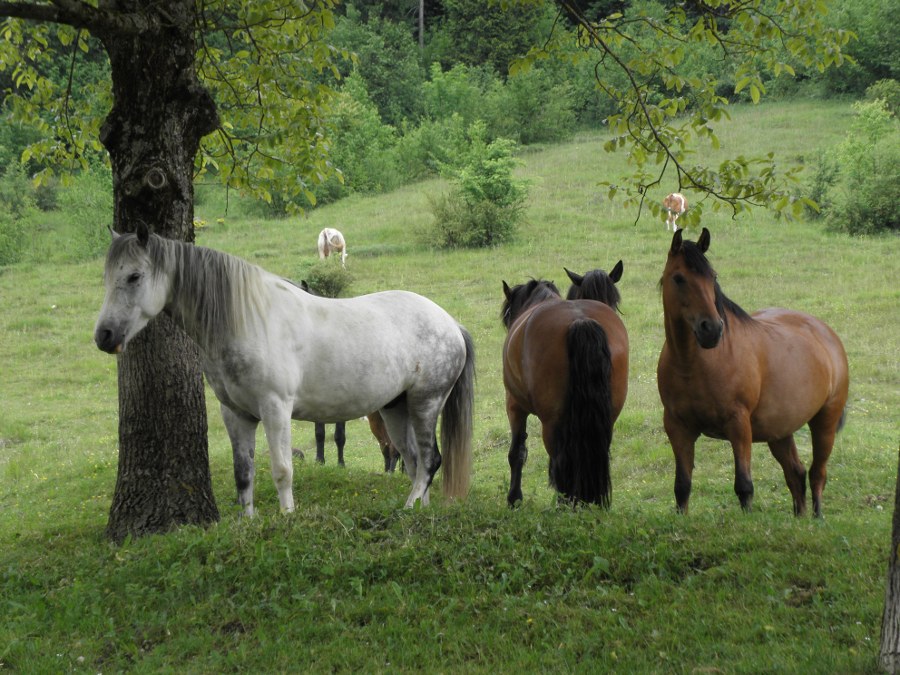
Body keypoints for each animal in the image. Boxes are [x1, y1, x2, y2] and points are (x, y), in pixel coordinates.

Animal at [96, 224, 478, 516]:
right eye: (107, 277)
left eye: (134, 276)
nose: (104, 335)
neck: (247, 320)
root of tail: (450, 323)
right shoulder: (235, 414)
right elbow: (243, 474)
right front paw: (248, 523)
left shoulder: (275, 408)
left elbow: (282, 470)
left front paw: (287, 518)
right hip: (395, 409)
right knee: (414, 462)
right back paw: (420, 511)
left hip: (425, 403)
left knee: (430, 461)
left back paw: (409, 509)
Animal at [500, 278, 624, 508]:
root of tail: (580, 321)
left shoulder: (514, 406)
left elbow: (517, 453)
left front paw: (514, 498)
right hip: (608, 417)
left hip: (551, 423)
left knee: (561, 461)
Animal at [656, 228, 848, 516]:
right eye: (679, 278)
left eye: (712, 277)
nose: (712, 329)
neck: (693, 364)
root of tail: (826, 333)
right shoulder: (677, 427)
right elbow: (682, 487)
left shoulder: (739, 425)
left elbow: (744, 487)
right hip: (780, 432)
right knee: (796, 474)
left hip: (824, 423)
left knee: (817, 475)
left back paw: (817, 519)